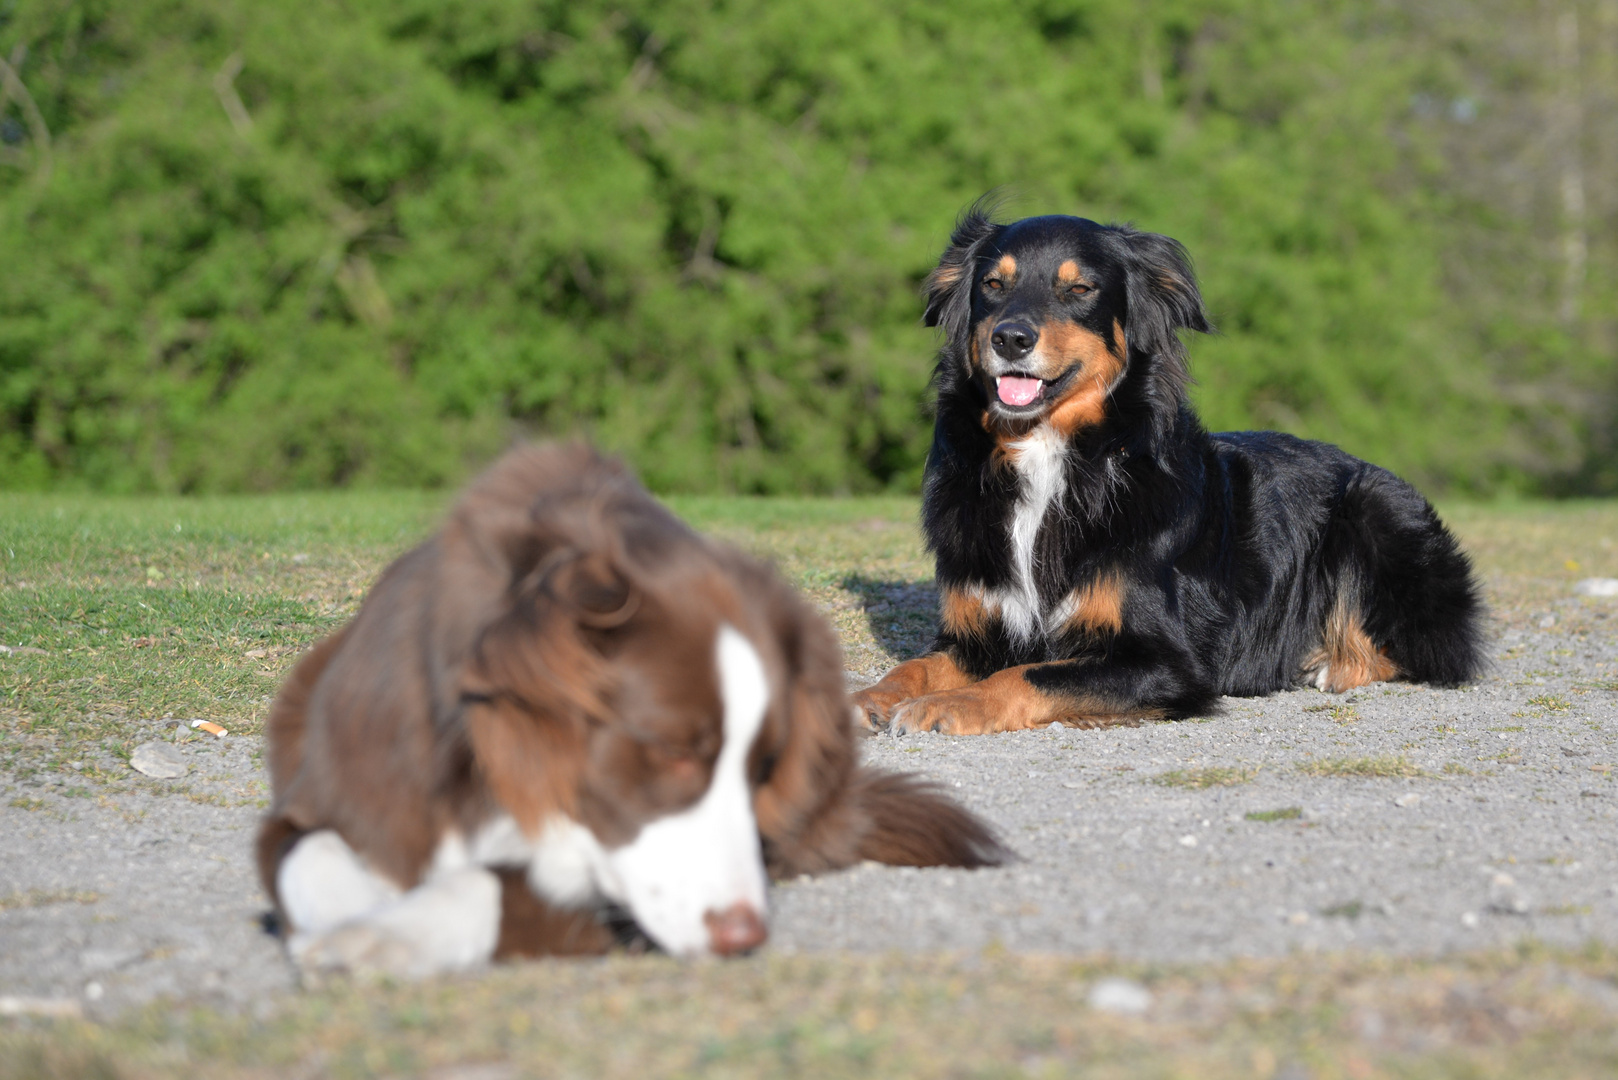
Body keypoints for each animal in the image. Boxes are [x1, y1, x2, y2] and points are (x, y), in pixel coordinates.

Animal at [258, 443, 1003, 977]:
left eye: (761, 770)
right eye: (671, 752)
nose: (745, 934)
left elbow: (494, 888)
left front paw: (381, 936)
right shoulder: (331, 786)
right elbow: (313, 855)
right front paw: (355, 917)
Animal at [854, 201, 1482, 738]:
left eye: (1078, 289)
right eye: (992, 285)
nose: (1011, 338)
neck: (1050, 452)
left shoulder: (1166, 662)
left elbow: (1027, 674)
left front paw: (950, 705)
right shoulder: (975, 630)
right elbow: (916, 665)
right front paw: (868, 696)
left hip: (1374, 509)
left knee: (1425, 649)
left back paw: (1329, 663)